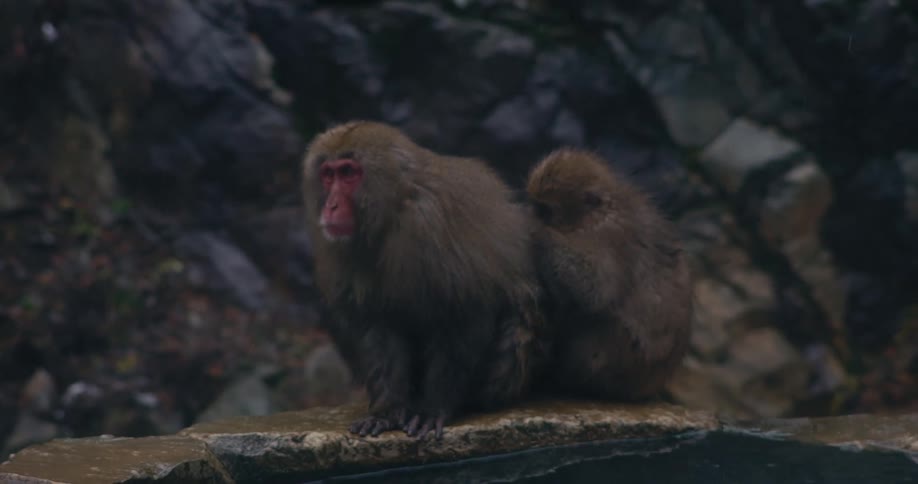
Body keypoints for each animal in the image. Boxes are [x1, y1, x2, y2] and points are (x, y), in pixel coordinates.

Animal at [301, 121, 547, 439]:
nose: (330, 206)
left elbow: (464, 311)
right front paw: (386, 410)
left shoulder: (428, 225)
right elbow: (379, 325)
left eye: (347, 173)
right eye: (328, 174)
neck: (394, 206)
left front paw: (433, 407)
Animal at [525, 148, 692, 401]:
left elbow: (595, 290)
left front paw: (536, 230)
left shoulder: (608, 236)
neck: (599, 212)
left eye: (544, 210)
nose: (532, 212)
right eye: (535, 204)